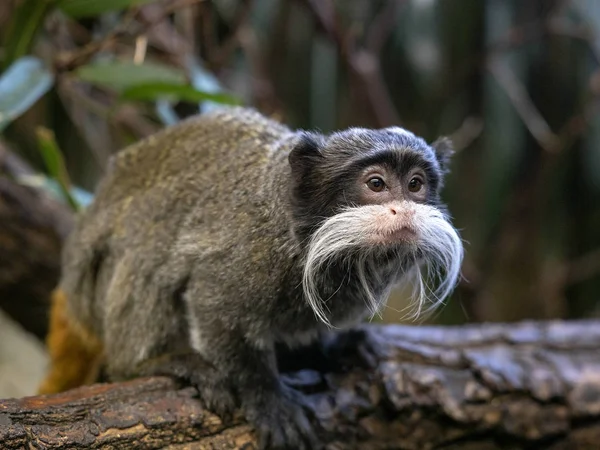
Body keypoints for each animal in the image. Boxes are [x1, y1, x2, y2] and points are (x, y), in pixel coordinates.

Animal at [39, 107, 464, 448]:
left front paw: (333, 347)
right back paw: (153, 361)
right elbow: (215, 305)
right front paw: (268, 398)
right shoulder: (252, 252)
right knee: (146, 262)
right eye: (376, 184)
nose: (403, 211)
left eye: (415, 185)